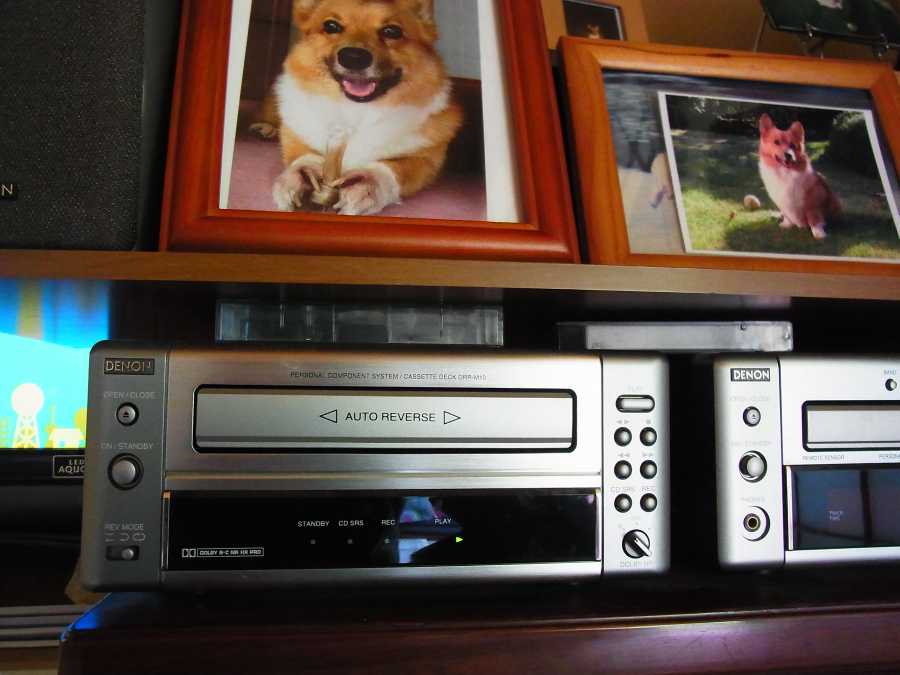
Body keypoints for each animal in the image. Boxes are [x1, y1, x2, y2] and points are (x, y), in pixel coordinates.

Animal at [272, 0, 462, 216]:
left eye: (392, 31)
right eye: (331, 26)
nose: (353, 57)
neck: (356, 111)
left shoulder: (426, 160)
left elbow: (395, 168)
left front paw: (366, 184)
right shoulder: (295, 136)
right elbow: (303, 156)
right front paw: (301, 176)